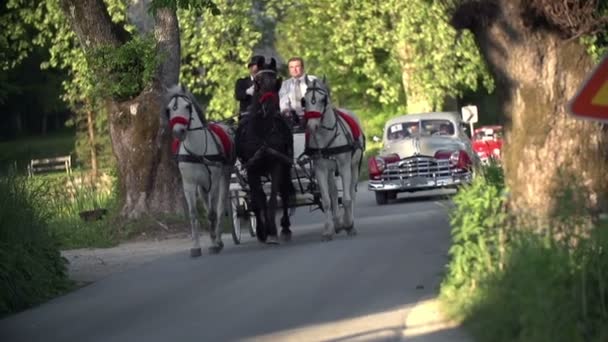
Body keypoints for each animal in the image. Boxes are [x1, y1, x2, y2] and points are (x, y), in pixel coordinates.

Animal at [164, 85, 235, 256]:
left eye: (187, 106)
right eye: (169, 109)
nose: (178, 132)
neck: (197, 151)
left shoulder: (213, 182)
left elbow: (213, 213)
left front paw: (214, 244)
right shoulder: (189, 185)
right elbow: (193, 214)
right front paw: (196, 246)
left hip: (224, 176)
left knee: (219, 207)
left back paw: (218, 239)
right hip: (202, 186)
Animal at [235, 57, 296, 243]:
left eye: (276, 81)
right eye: (258, 81)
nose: (268, 107)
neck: (262, 131)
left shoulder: (277, 165)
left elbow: (273, 198)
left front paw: (272, 229)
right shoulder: (252, 169)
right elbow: (257, 200)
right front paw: (262, 231)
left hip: (285, 166)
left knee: (284, 193)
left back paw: (285, 227)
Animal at [300, 77, 364, 240]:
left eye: (323, 100)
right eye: (304, 100)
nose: (312, 126)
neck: (326, 136)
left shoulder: (344, 167)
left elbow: (347, 199)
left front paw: (349, 225)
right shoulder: (320, 169)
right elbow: (327, 200)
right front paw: (328, 230)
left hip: (354, 166)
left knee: (352, 193)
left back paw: (349, 222)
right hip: (330, 170)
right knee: (334, 193)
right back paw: (337, 223)